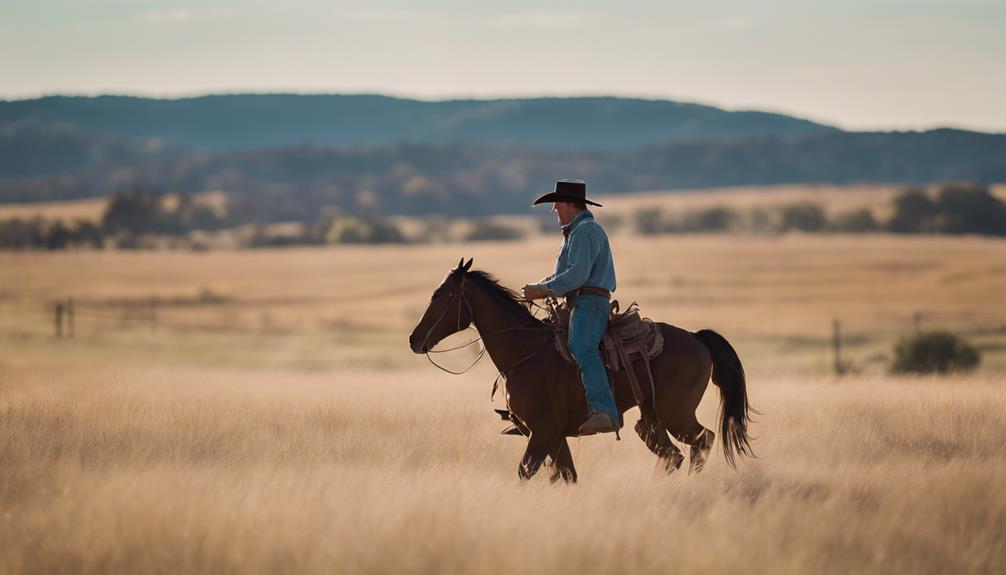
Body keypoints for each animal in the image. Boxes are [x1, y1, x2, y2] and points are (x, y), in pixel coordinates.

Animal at [408, 257, 756, 482]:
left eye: (438, 295)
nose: (414, 339)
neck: (524, 354)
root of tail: (697, 338)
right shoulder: (553, 435)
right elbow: (567, 475)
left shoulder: (543, 431)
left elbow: (526, 471)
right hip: (652, 417)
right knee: (672, 453)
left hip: (677, 414)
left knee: (703, 441)